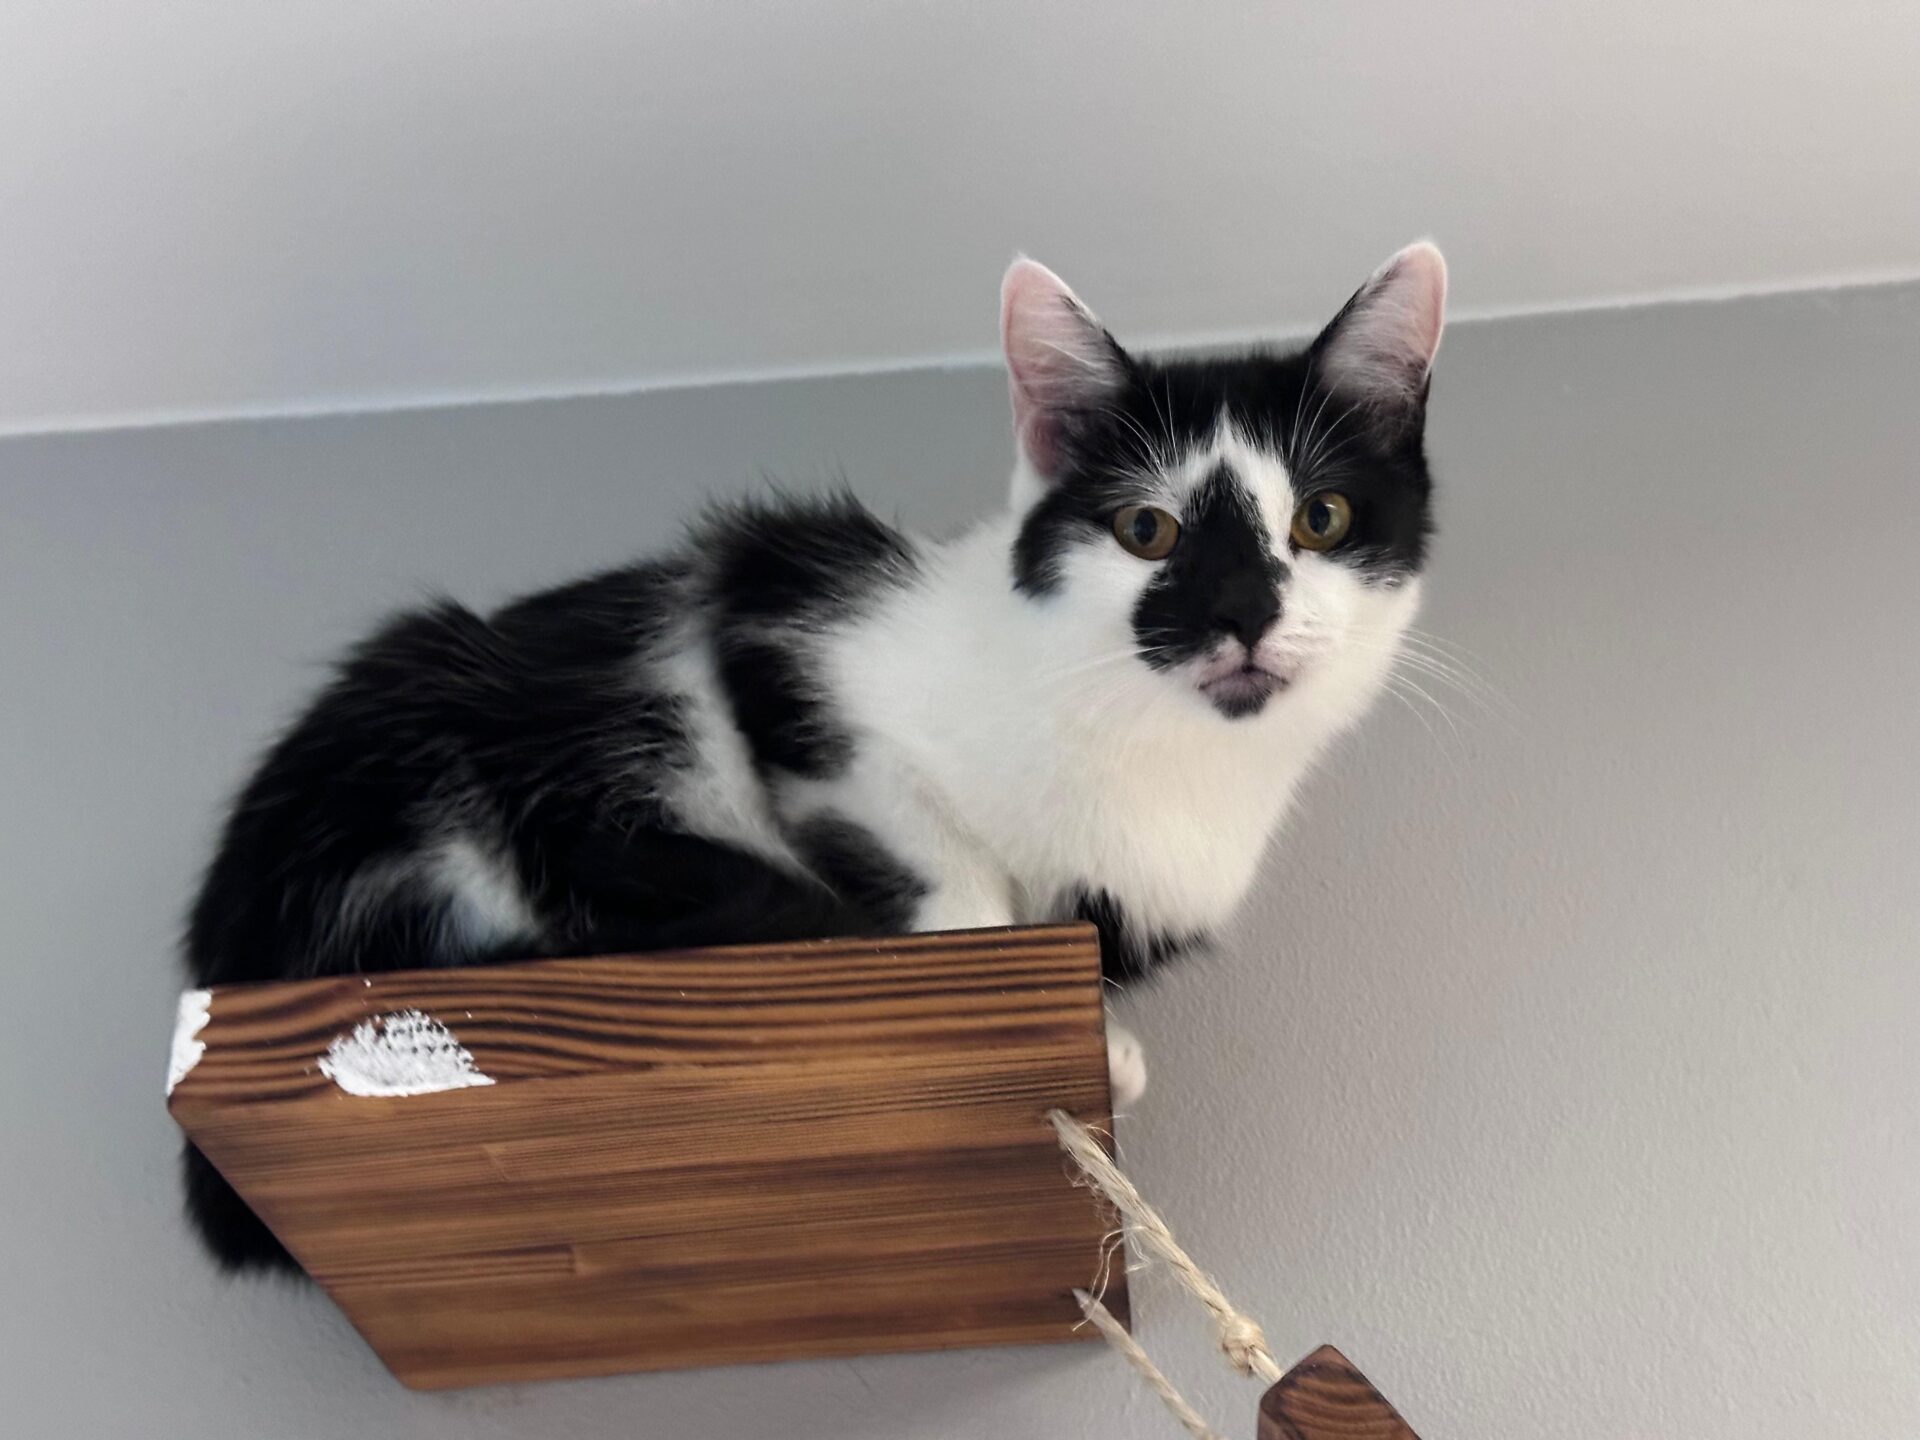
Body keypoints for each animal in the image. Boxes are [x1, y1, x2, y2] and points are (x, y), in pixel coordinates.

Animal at [180, 242, 1447, 1271]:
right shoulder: (780, 617)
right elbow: (950, 879)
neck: (1156, 754)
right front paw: (1029, 991)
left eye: (1322, 519)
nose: (1242, 614)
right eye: (1148, 530)